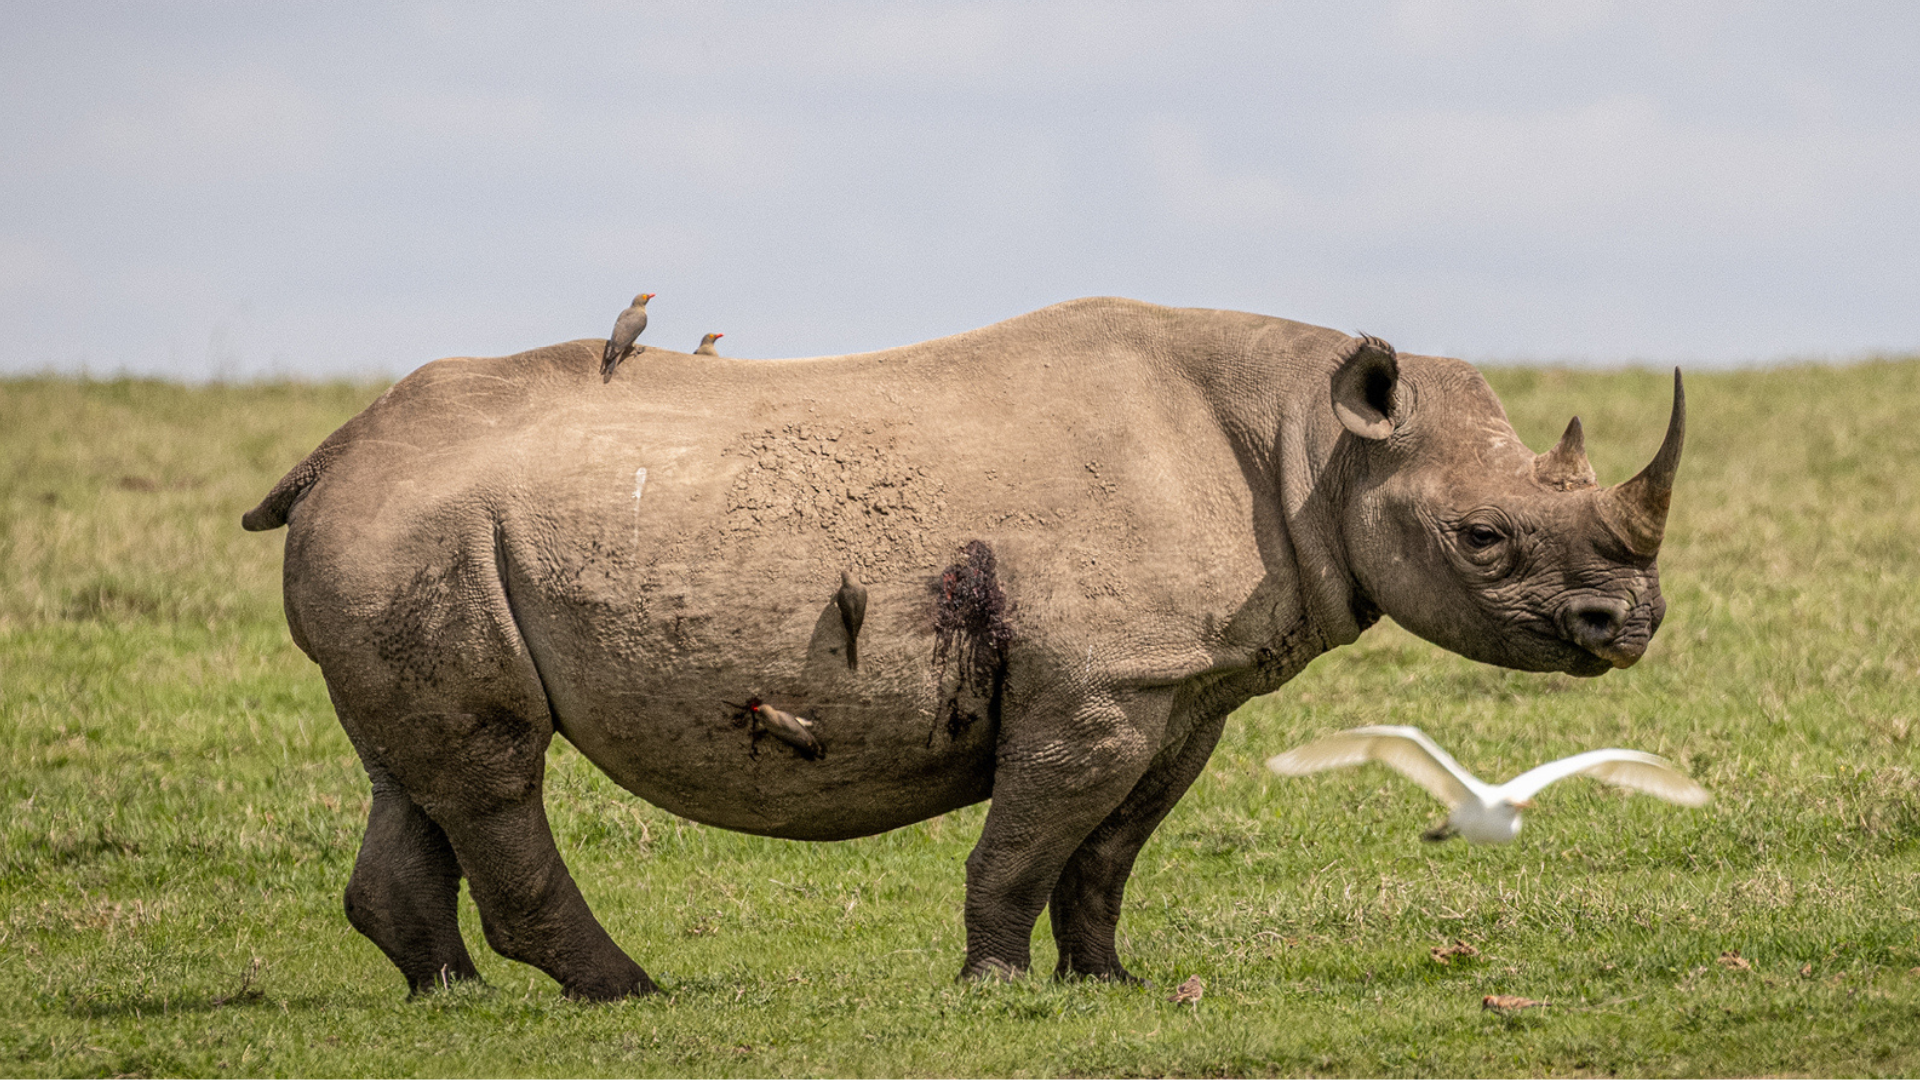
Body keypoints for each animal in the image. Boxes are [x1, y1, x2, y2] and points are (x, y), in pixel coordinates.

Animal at [243, 297, 1684, 1000]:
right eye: (1482, 538)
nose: (1630, 626)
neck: (1313, 443)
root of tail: (334, 453)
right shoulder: (1100, 685)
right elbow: (1026, 843)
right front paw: (993, 988)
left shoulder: (1180, 688)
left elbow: (1105, 852)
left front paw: (1112, 986)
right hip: (421, 522)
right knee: (492, 765)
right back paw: (628, 997)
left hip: (415, 531)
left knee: (421, 761)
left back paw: (451, 998)